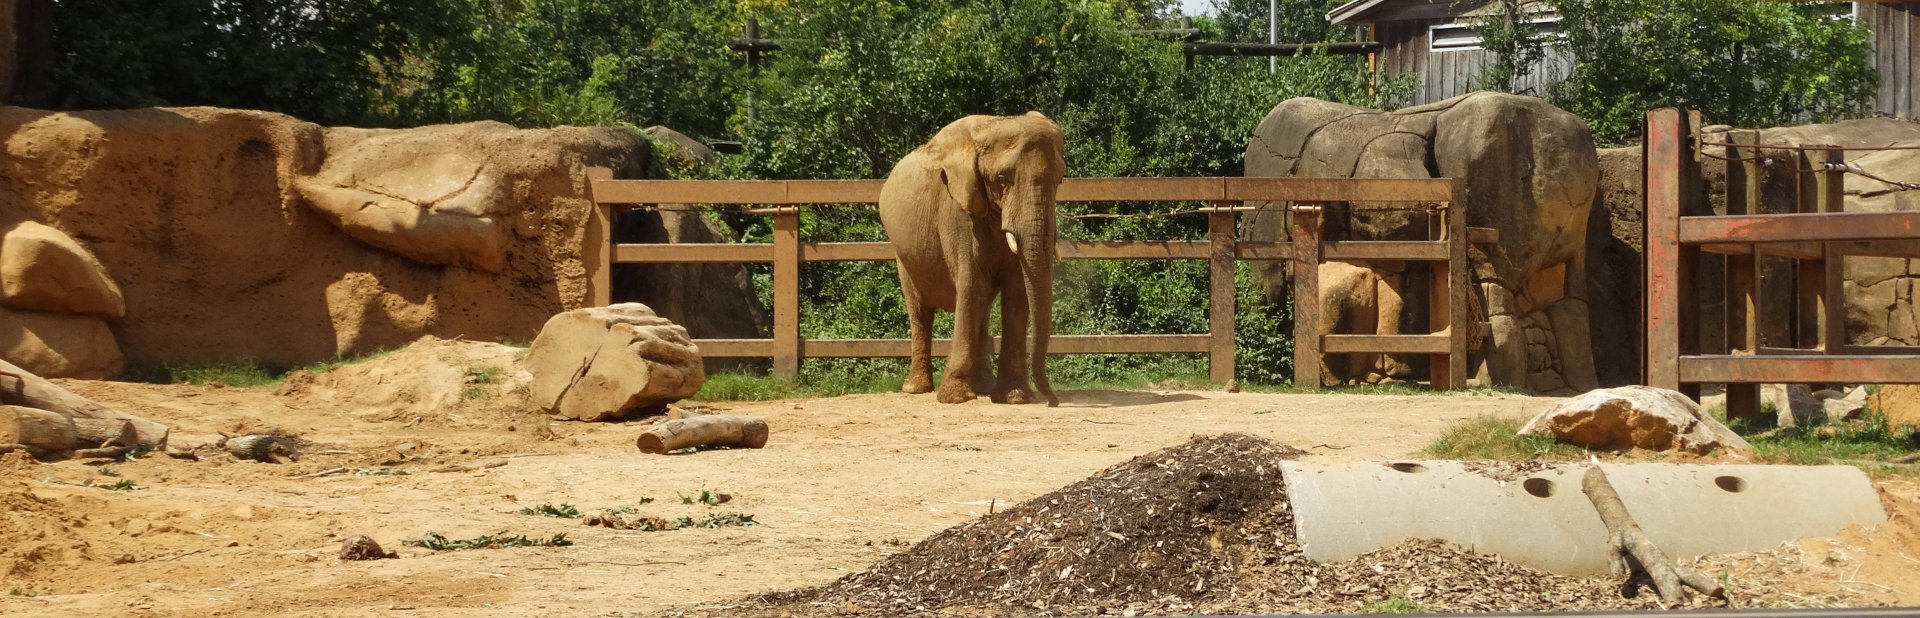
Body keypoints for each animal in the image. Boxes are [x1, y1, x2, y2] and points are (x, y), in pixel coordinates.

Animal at [879, 112, 1065, 406]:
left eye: (1060, 181)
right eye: (1002, 178)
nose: (1053, 402)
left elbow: (1016, 291)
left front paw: (1014, 398)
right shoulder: (956, 210)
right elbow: (971, 284)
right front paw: (955, 397)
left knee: (983, 306)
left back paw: (983, 386)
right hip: (902, 253)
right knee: (919, 310)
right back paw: (915, 389)